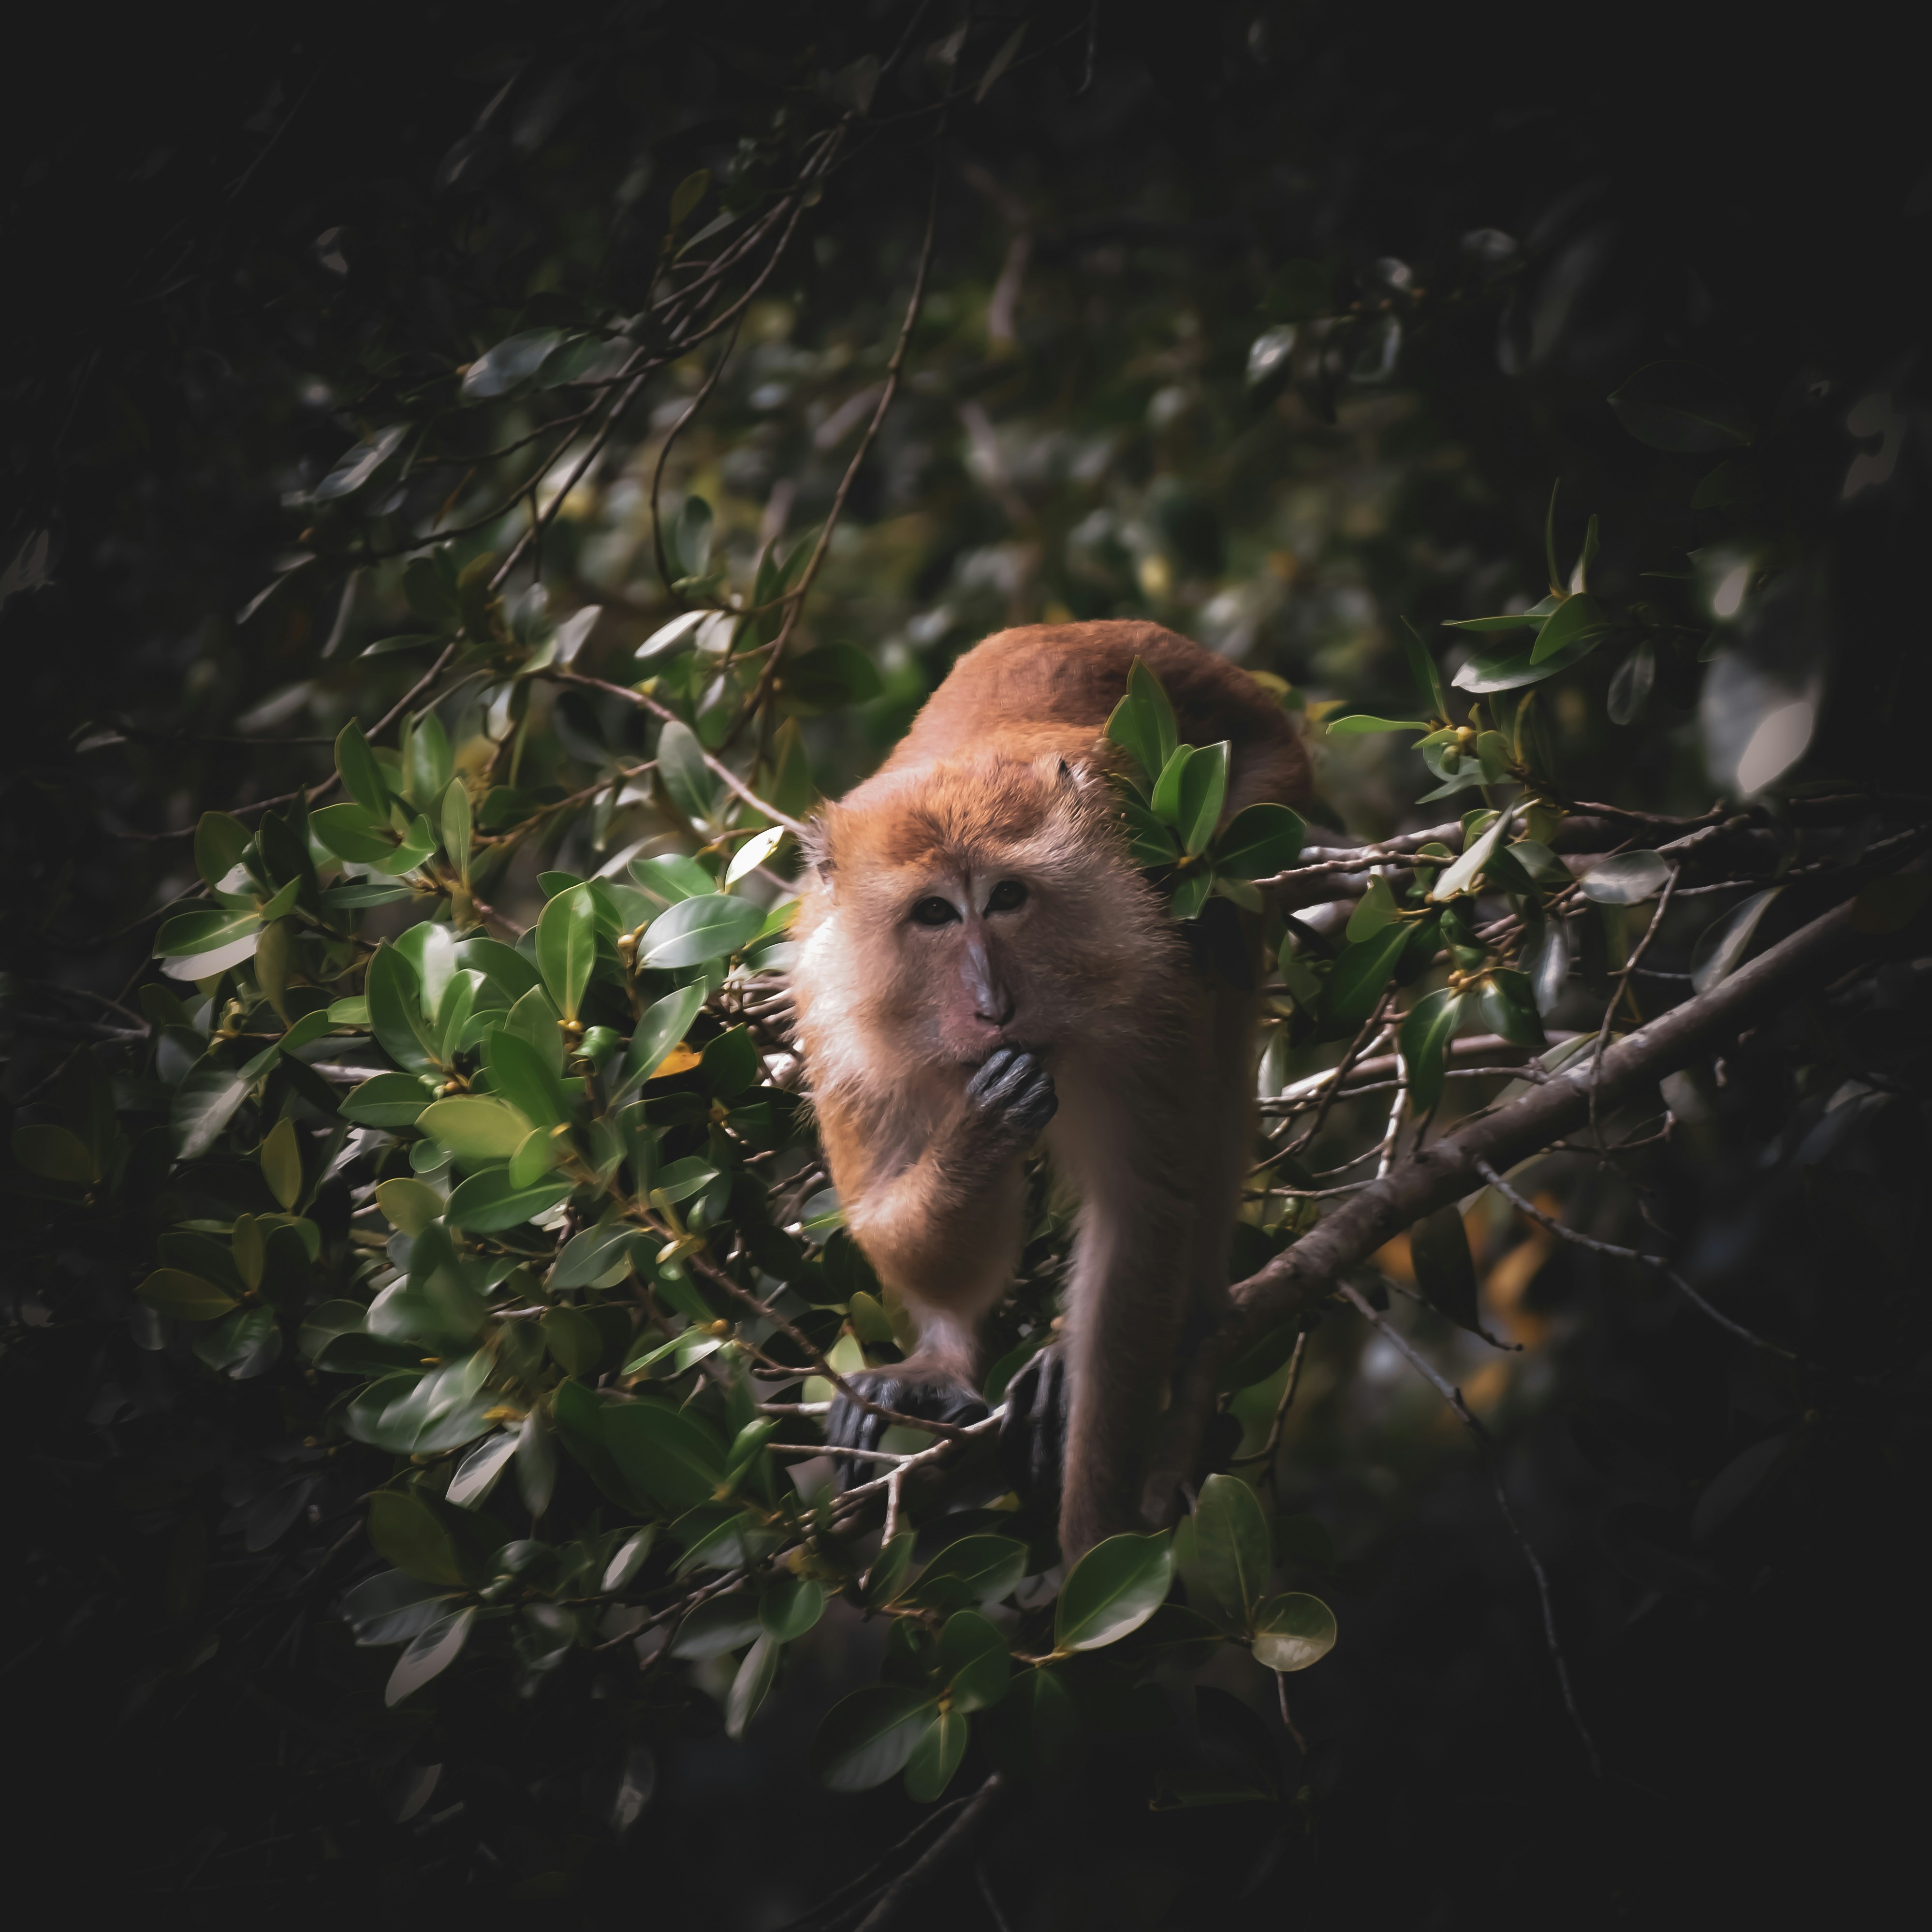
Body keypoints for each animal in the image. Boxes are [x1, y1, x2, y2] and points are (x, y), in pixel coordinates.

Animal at [787, 620, 1311, 1558]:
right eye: (933, 914)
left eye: (1006, 898)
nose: (993, 1006)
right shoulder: (831, 1007)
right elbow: (883, 1215)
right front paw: (977, 1136)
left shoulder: (1146, 985)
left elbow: (1142, 1210)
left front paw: (1093, 1547)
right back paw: (939, 1367)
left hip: (1263, 799)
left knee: (1220, 1023)